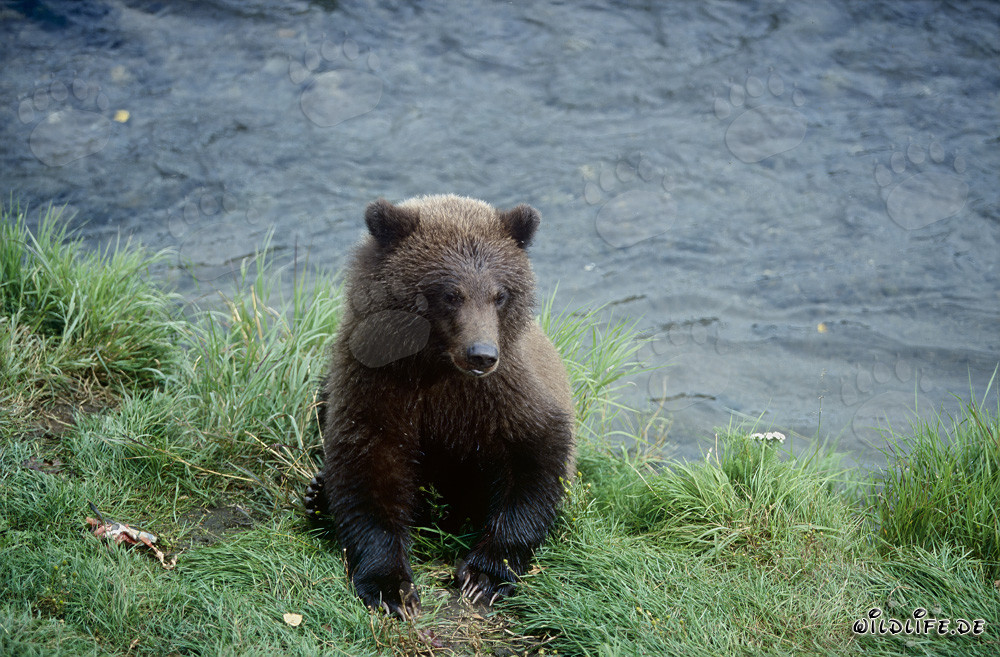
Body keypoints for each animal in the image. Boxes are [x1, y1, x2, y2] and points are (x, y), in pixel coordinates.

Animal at [304, 194, 575, 619]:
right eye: (451, 293)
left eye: (500, 294)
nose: (482, 354)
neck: (434, 367)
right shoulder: (376, 383)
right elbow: (368, 465)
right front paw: (391, 588)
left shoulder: (503, 394)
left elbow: (535, 457)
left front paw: (484, 575)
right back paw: (316, 496)